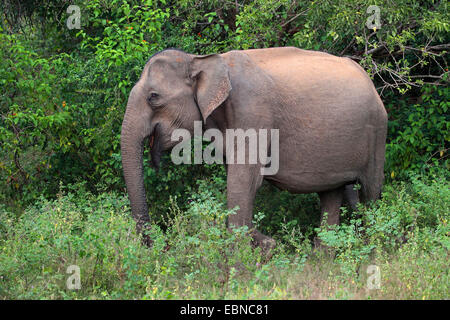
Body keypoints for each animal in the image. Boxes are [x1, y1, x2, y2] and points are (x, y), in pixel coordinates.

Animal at [121, 47, 388, 248]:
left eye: (153, 97)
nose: (158, 244)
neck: (199, 59)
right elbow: (240, 181)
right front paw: (268, 246)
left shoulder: (253, 113)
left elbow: (243, 181)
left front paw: (244, 267)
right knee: (330, 194)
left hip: (377, 132)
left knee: (371, 192)